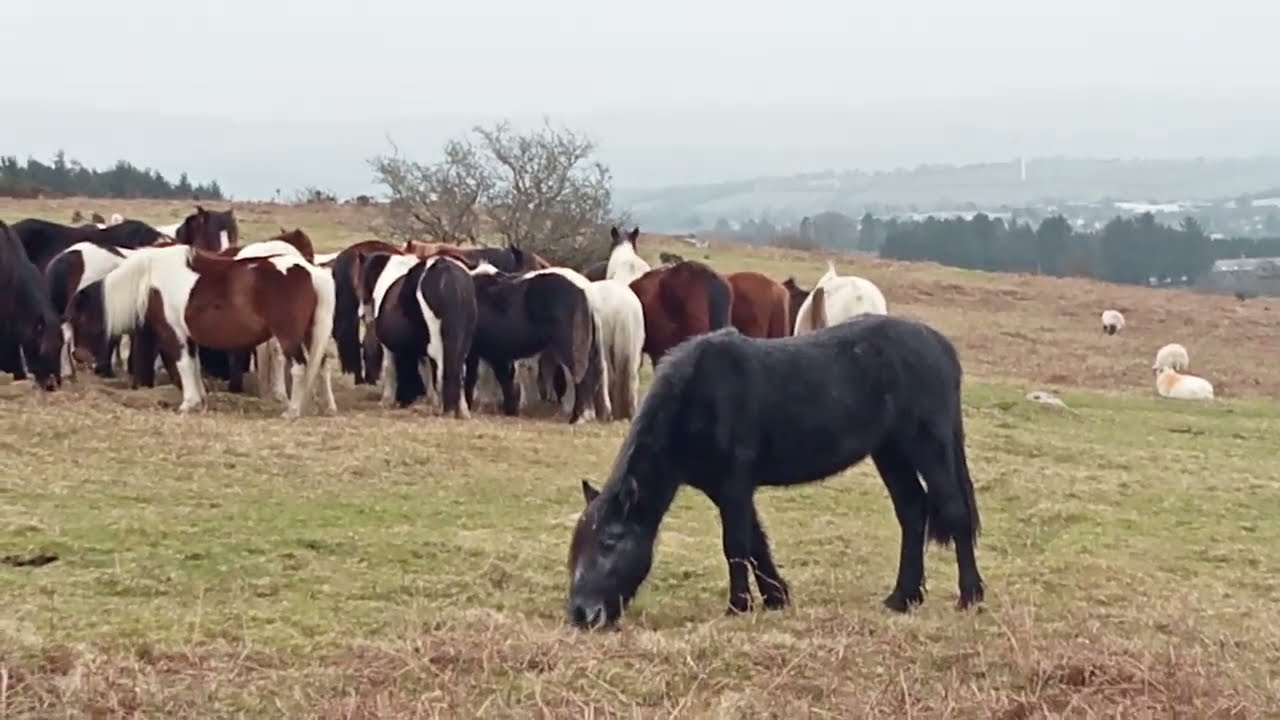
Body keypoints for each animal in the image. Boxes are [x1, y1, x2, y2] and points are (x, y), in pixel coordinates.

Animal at [65, 244, 336, 418]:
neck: (150, 280)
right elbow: (193, 366)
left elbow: (184, 365)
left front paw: (188, 404)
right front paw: (200, 401)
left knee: (300, 368)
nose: (79, 355)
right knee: (320, 366)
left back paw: (292, 411)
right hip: (310, 334)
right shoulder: (189, 337)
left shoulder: (175, 335)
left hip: (289, 337)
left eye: (80, 318)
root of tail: (312, 272)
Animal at [361, 252, 478, 418]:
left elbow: (390, 368)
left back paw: (444, 409)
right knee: (458, 372)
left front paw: (386, 401)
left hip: (438, 345)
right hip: (461, 342)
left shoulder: (388, 347)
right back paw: (462, 411)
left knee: (443, 372)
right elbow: (426, 371)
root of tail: (445, 271)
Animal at [465, 262, 605, 424]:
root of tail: (584, 290)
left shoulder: (479, 353)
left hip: (570, 347)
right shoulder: (496, 354)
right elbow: (501, 378)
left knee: (580, 376)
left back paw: (578, 416)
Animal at [565, 315, 986, 629]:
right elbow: (756, 541)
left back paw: (970, 596)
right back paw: (903, 597)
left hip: (927, 447)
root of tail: (940, 347)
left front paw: (738, 606)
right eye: (577, 544)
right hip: (890, 452)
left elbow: (736, 545)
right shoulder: (725, 489)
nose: (581, 614)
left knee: (953, 511)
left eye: (609, 542)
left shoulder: (735, 485)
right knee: (913, 512)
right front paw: (775, 597)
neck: (697, 397)